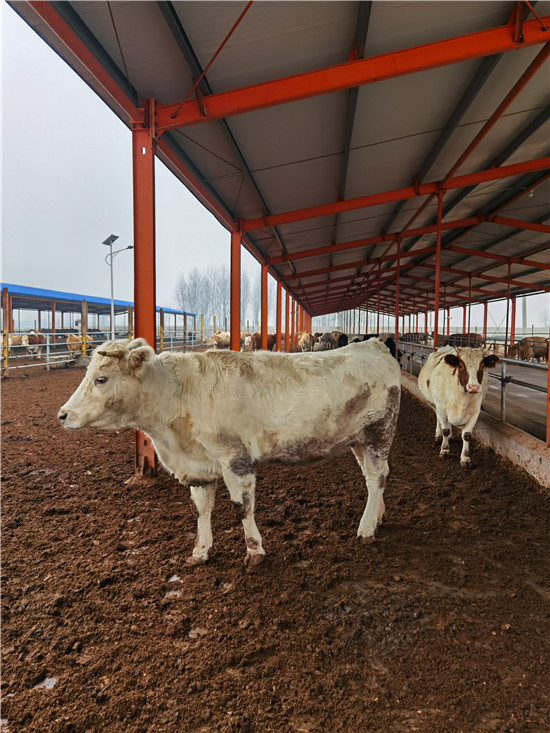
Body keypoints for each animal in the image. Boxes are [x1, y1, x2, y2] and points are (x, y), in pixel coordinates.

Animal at [58, 337, 401, 566]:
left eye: (101, 379)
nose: (62, 415)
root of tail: (374, 345)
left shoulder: (235, 458)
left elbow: (242, 507)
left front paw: (254, 551)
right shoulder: (199, 467)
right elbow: (201, 509)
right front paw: (200, 551)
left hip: (379, 432)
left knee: (376, 479)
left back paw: (366, 529)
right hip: (357, 440)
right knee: (377, 476)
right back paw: (378, 517)